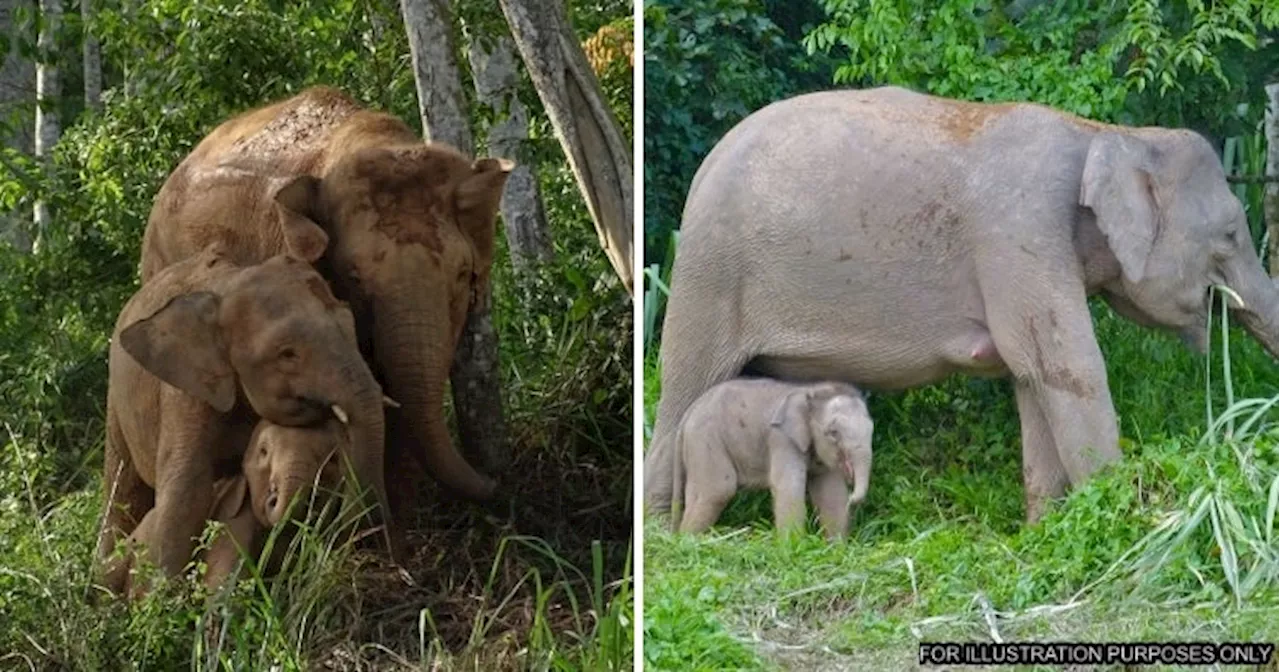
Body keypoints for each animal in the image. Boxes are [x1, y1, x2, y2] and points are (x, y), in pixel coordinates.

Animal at [670, 378, 870, 537]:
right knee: (717, 490)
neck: (810, 391)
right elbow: (788, 487)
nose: (853, 500)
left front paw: (836, 547)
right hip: (704, 441)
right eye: (833, 433)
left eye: (871, 428)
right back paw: (687, 541)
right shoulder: (782, 439)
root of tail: (688, 413)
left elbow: (831, 493)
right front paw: (791, 547)